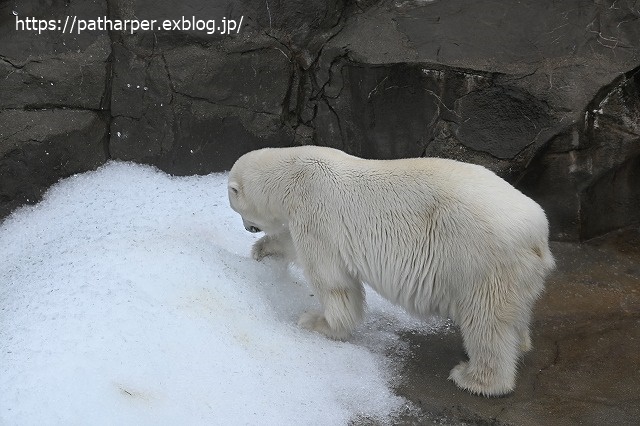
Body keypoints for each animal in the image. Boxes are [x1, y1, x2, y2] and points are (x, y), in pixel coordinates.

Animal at [226, 146, 556, 396]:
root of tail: (538, 232)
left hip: (481, 260)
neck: (294, 171)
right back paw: (519, 345)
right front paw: (262, 250)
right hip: (516, 271)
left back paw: (474, 378)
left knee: (486, 321)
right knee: (512, 314)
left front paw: (318, 322)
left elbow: (332, 279)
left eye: (236, 206)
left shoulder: (315, 212)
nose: (247, 228)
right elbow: (291, 244)